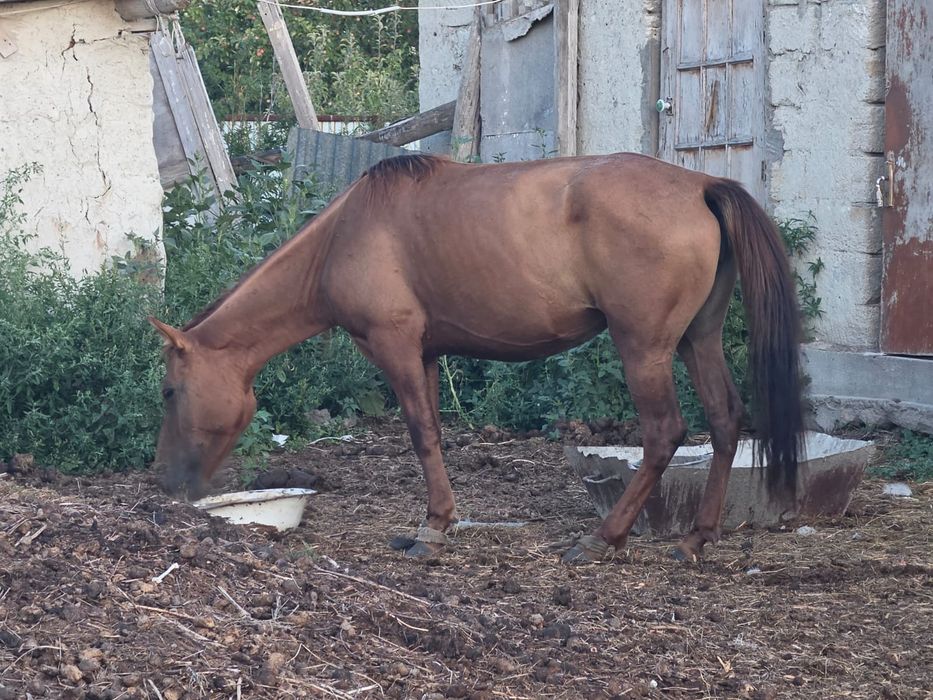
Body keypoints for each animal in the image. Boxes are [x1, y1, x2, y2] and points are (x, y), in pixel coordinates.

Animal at [149, 152, 803, 563]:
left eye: (169, 391)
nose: (165, 481)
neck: (342, 238)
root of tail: (700, 186)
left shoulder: (394, 348)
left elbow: (421, 435)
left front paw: (432, 531)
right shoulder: (425, 355)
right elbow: (434, 434)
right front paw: (438, 521)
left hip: (644, 349)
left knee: (665, 432)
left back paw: (603, 539)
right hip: (697, 340)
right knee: (725, 420)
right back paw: (697, 539)